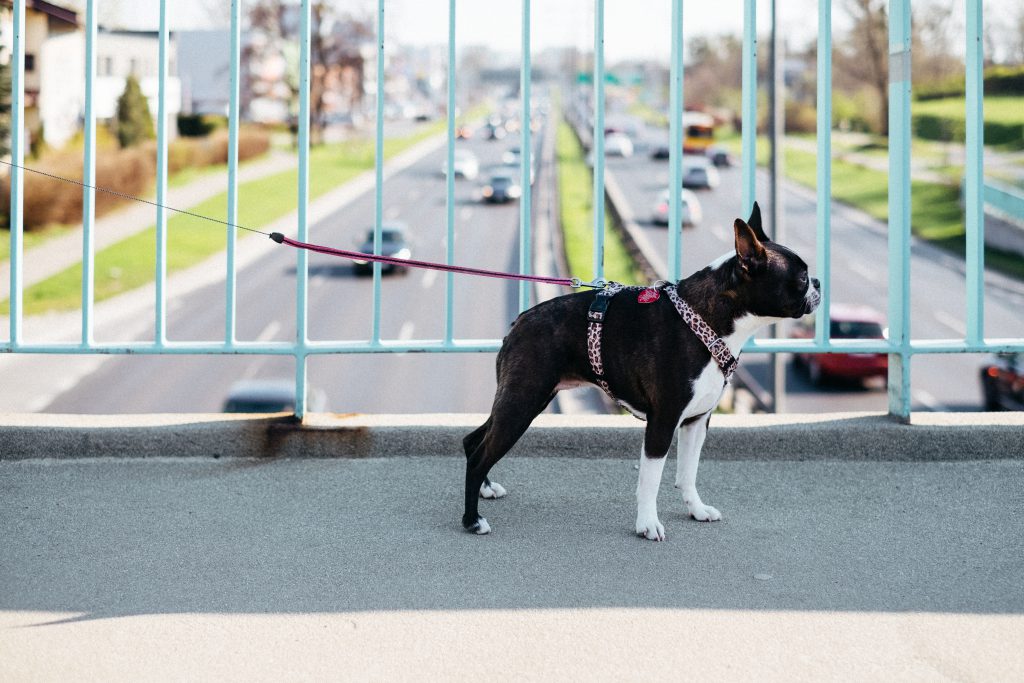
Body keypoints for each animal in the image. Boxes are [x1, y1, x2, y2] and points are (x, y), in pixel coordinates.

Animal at [464, 202, 823, 540]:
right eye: (801, 278)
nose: (818, 282)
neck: (705, 320)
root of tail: (520, 321)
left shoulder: (697, 420)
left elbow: (688, 473)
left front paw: (697, 509)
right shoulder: (662, 421)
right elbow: (651, 479)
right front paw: (648, 524)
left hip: (523, 398)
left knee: (473, 441)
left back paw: (486, 489)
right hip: (523, 402)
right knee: (480, 455)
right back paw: (472, 520)